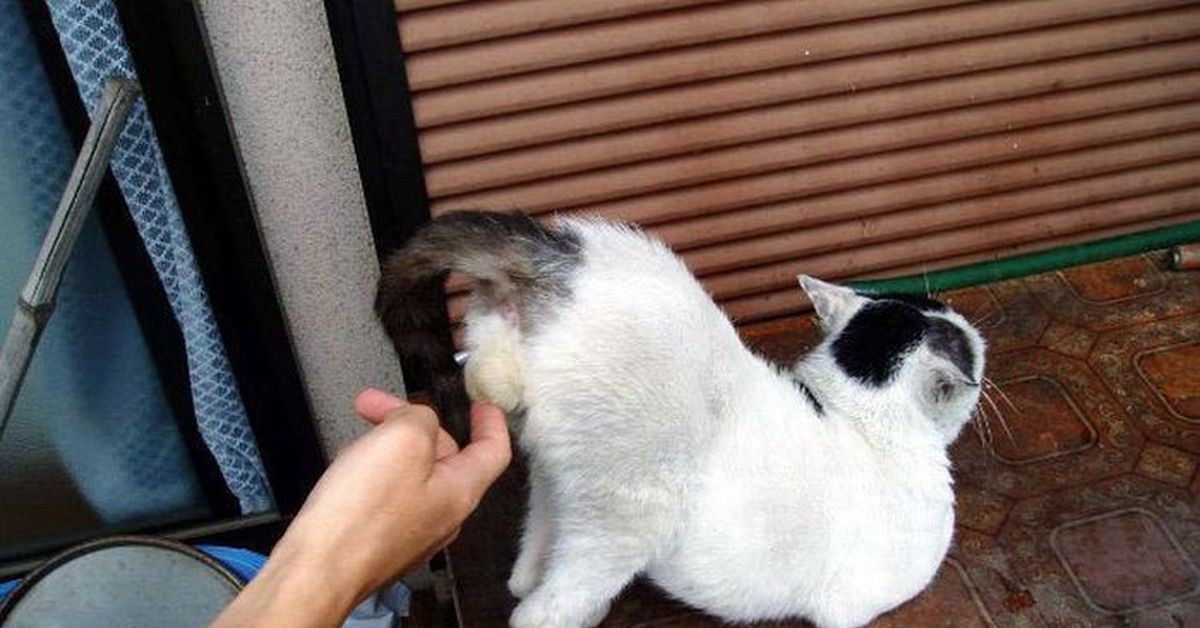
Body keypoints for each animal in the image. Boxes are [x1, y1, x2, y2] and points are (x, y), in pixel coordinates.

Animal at [376, 211, 986, 628]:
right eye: (967, 345)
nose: (971, 327)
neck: (854, 413)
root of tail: (562, 257)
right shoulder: (858, 603)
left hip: (553, 468)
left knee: (534, 546)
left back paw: (534, 573)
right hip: (633, 510)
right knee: (541, 613)